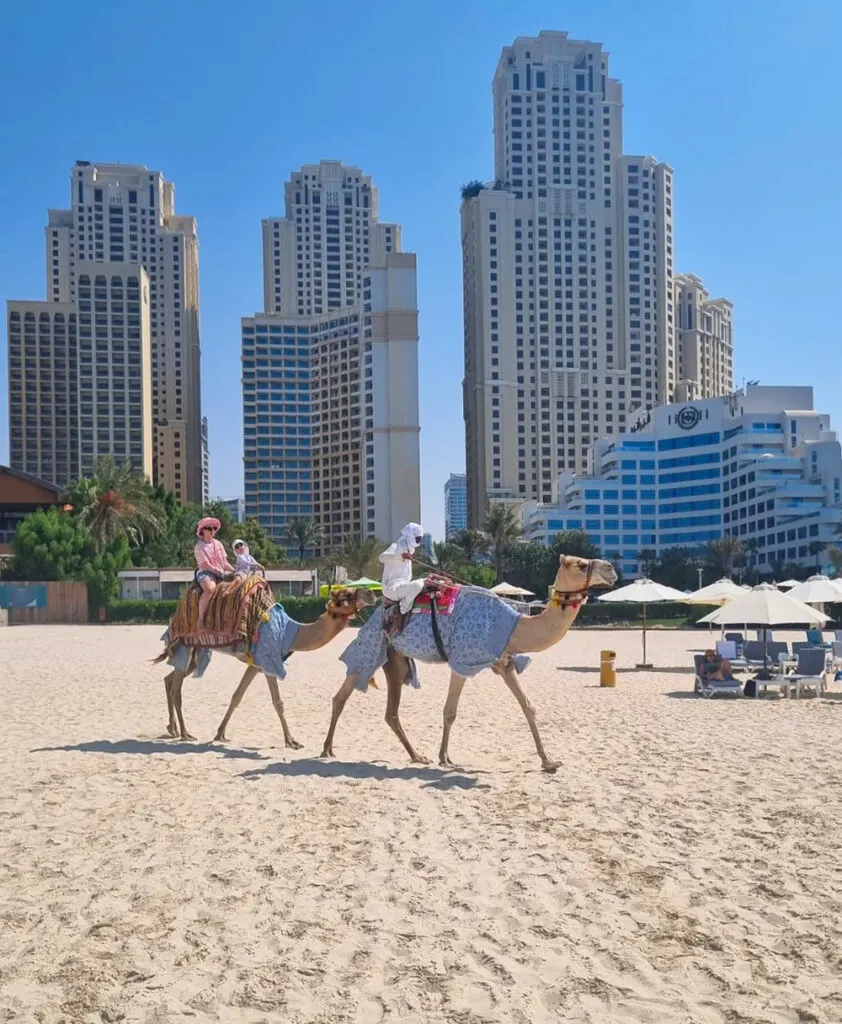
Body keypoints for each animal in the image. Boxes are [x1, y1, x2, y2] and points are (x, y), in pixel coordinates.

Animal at [162, 585, 379, 745]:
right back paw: (185, 733)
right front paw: (291, 741)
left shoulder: (256, 665)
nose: (371, 593)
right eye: (347, 593)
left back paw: (172, 729)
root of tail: (174, 615)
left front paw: (220, 733)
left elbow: (237, 696)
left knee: (169, 679)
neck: (290, 632)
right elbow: (277, 702)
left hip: (194, 654)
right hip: (185, 646)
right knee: (176, 689)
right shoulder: (267, 660)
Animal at [319, 557, 614, 770]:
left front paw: (548, 761)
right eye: (581, 564)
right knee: (344, 691)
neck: (514, 626)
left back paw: (417, 756)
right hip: (373, 646)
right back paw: (326, 749)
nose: (611, 568)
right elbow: (450, 711)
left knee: (389, 712)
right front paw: (446, 759)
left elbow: (528, 706)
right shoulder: (463, 662)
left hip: (396, 660)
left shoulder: (503, 662)